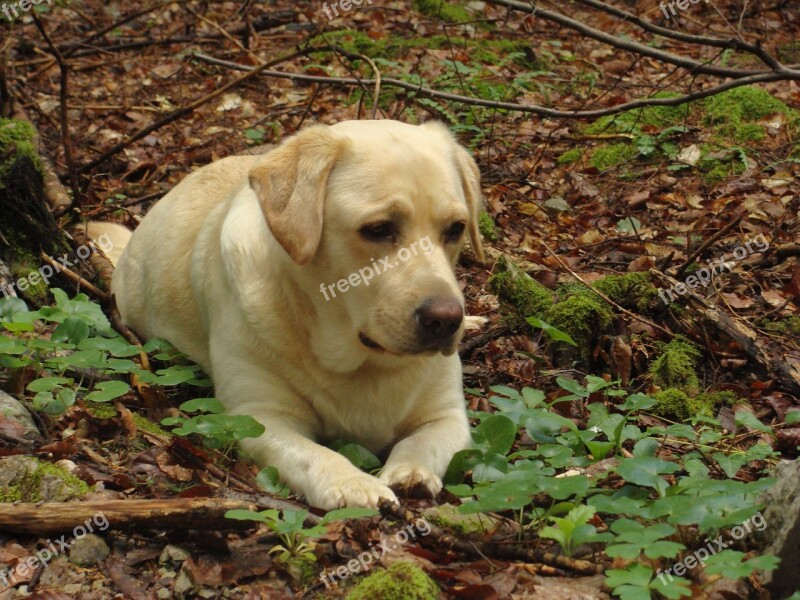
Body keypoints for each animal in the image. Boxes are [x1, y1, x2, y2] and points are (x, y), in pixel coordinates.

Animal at [92, 119, 482, 508]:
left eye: (456, 229)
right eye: (379, 229)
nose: (446, 320)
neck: (360, 362)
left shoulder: (449, 416)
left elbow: (423, 442)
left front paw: (411, 472)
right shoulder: (259, 416)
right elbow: (315, 455)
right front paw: (352, 483)